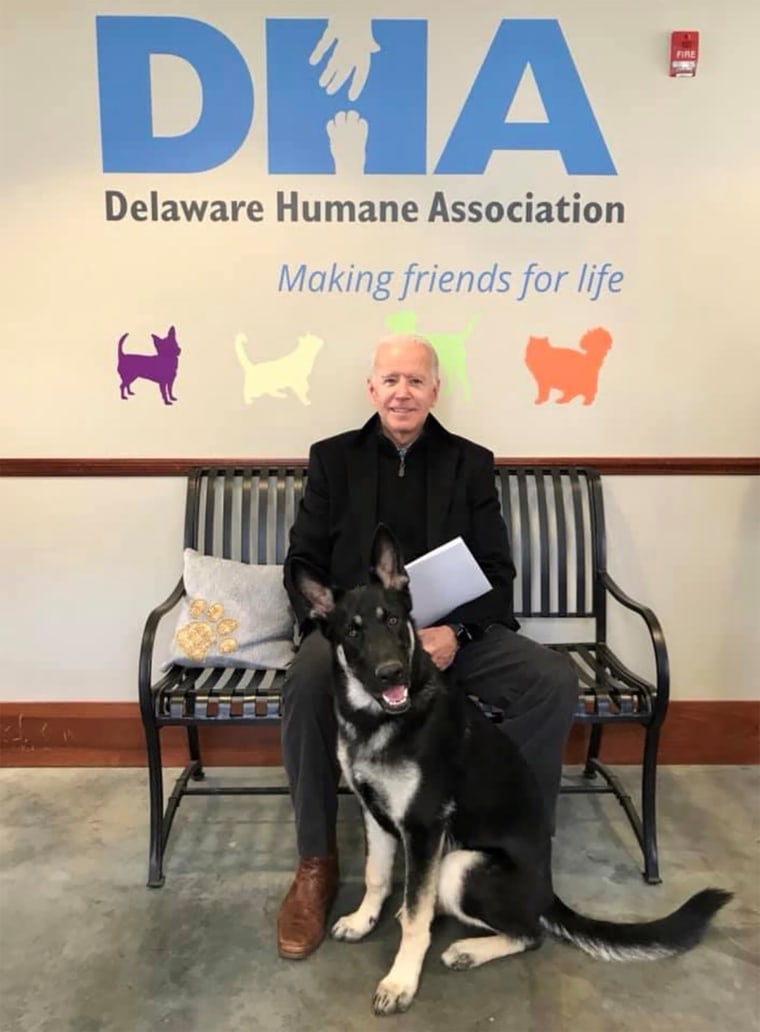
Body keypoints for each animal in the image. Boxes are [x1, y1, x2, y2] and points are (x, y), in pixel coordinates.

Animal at [291, 524, 731, 1015]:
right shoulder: (375, 814)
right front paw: (364, 920)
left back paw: (469, 949)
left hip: (460, 865)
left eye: (392, 621)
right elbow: (377, 875)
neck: (377, 719)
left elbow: (417, 918)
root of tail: (548, 892)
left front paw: (401, 979)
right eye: (353, 631)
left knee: (529, 933)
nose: (392, 674)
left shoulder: (423, 828)